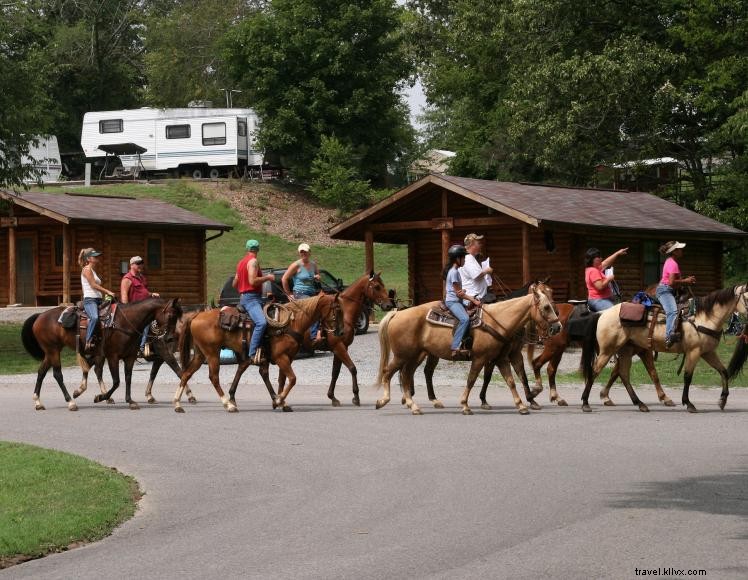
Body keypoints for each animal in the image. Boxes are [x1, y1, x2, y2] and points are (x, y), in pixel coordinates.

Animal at [20, 300, 181, 412]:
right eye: (171, 315)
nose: (170, 338)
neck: (126, 322)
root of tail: (40, 316)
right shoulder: (113, 357)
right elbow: (116, 381)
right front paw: (100, 397)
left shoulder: (129, 357)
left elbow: (128, 378)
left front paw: (130, 401)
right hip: (53, 350)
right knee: (58, 374)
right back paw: (71, 402)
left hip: (51, 351)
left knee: (41, 372)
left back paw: (38, 402)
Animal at [172, 294, 342, 412]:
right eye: (336, 309)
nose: (340, 331)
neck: (291, 323)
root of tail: (197, 315)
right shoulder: (281, 358)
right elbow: (292, 379)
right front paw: (279, 400)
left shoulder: (286, 358)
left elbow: (281, 379)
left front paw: (281, 402)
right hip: (212, 354)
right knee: (213, 378)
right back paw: (228, 405)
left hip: (200, 355)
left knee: (186, 374)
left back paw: (178, 404)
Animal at [376, 284, 560, 414]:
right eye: (546, 307)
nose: (558, 327)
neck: (498, 321)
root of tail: (398, 313)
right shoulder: (480, 358)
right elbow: (472, 380)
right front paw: (465, 405)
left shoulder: (502, 358)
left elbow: (512, 380)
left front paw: (522, 404)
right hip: (403, 356)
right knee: (389, 373)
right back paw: (385, 401)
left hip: (414, 356)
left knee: (408, 375)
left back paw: (413, 404)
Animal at [580, 284, 748, 412]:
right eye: (747, 298)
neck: (703, 318)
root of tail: (603, 313)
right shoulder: (694, 352)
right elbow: (688, 377)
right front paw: (688, 403)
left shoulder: (707, 352)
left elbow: (723, 371)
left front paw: (722, 400)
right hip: (608, 351)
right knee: (594, 372)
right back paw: (585, 403)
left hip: (625, 351)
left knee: (623, 374)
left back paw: (640, 404)